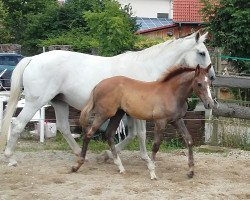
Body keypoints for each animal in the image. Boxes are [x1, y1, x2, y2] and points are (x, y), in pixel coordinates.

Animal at [0, 31, 215, 180]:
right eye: (201, 53)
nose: (212, 77)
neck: (147, 67)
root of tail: (33, 58)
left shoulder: (130, 112)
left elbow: (131, 134)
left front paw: (108, 156)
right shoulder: (138, 113)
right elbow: (140, 134)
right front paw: (144, 160)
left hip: (59, 102)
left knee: (64, 128)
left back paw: (81, 156)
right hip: (35, 101)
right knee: (18, 125)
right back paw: (10, 158)